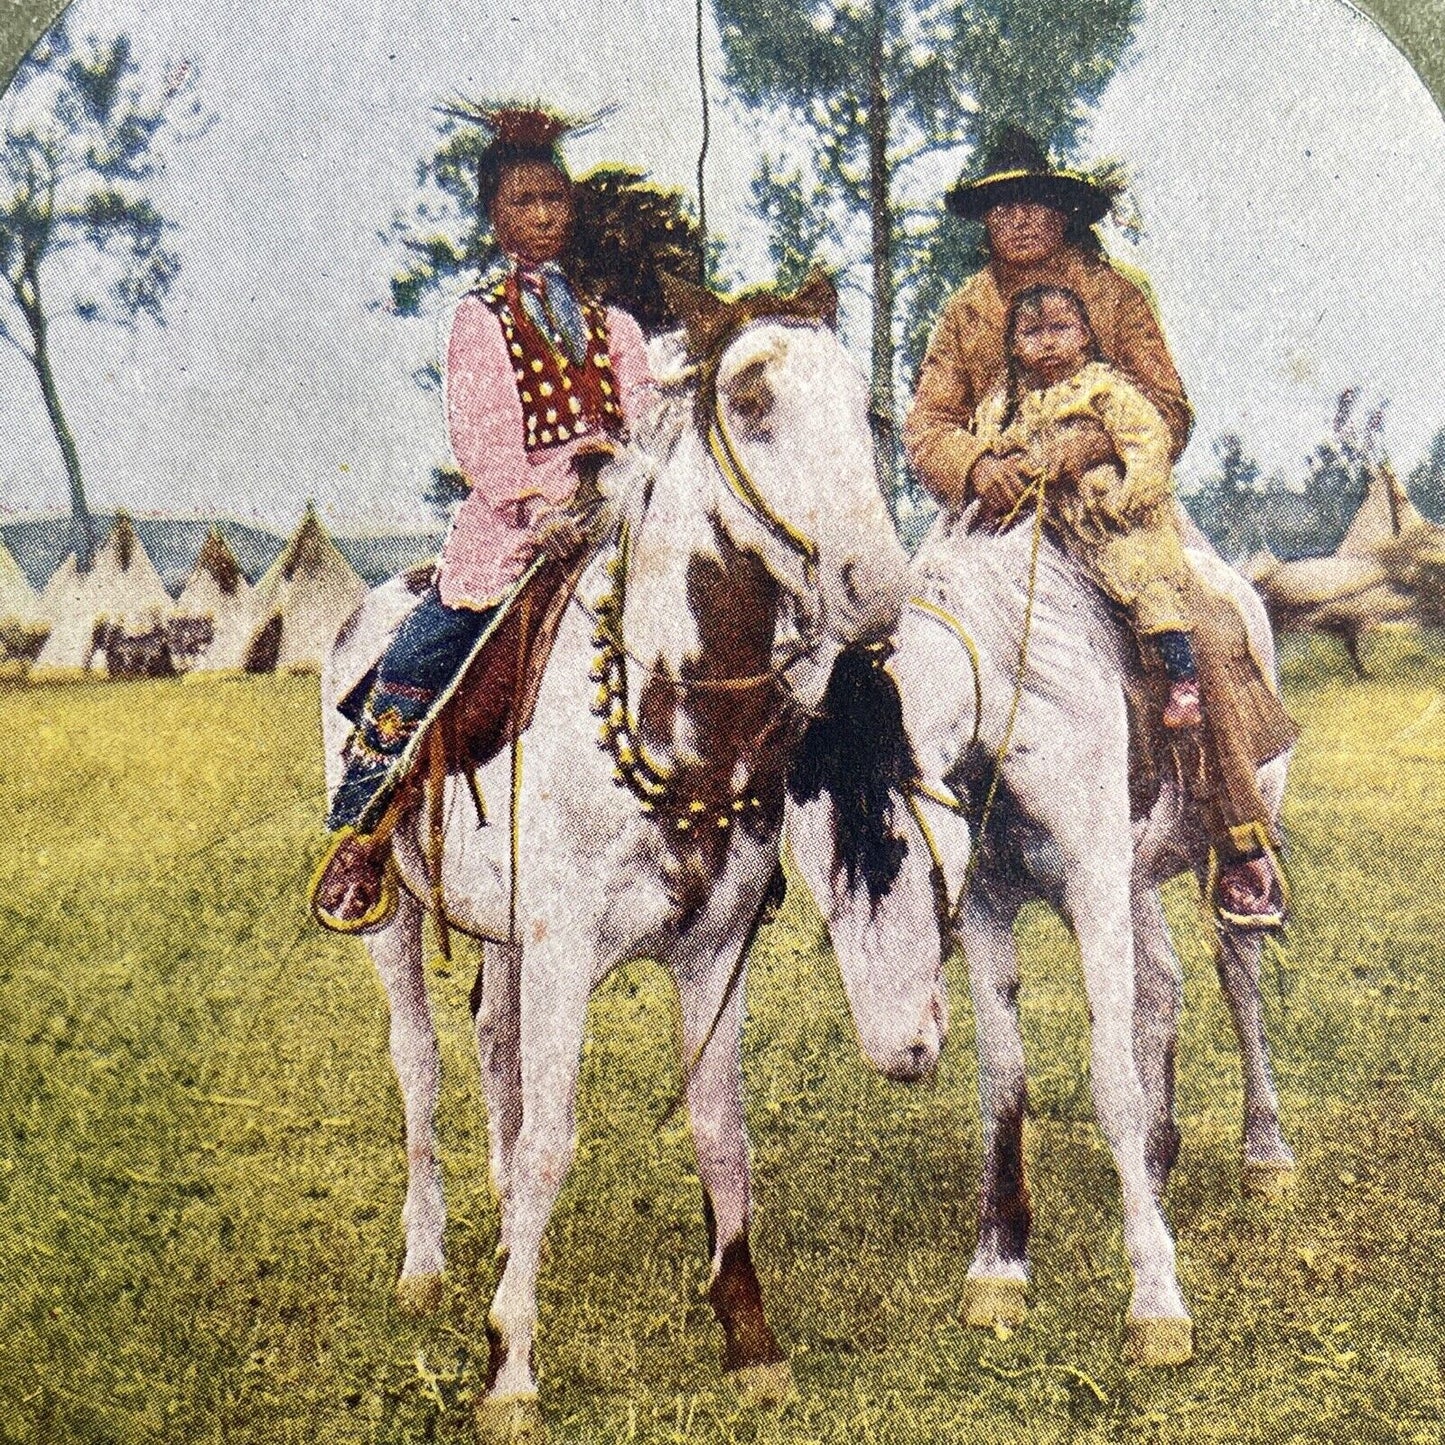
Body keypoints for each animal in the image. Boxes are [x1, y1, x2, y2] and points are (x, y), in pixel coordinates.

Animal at [322, 275, 907, 1439]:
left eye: (868, 410)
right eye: (750, 399)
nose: (875, 585)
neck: (670, 713)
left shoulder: (709, 954)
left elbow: (719, 1133)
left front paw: (749, 1337)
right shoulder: (564, 952)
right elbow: (551, 1135)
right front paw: (507, 1360)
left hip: (504, 938)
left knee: (492, 1042)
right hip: (396, 918)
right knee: (420, 1064)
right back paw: (427, 1263)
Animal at [791, 508, 1300, 1364]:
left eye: (890, 845)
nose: (897, 1050)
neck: (1010, 701)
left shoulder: (1092, 887)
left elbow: (1111, 1079)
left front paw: (1154, 1298)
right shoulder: (992, 901)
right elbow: (1003, 1079)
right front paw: (998, 1263)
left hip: (1226, 842)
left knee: (1238, 977)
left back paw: (1263, 1152)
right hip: (1131, 879)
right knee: (1161, 983)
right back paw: (1153, 1167)